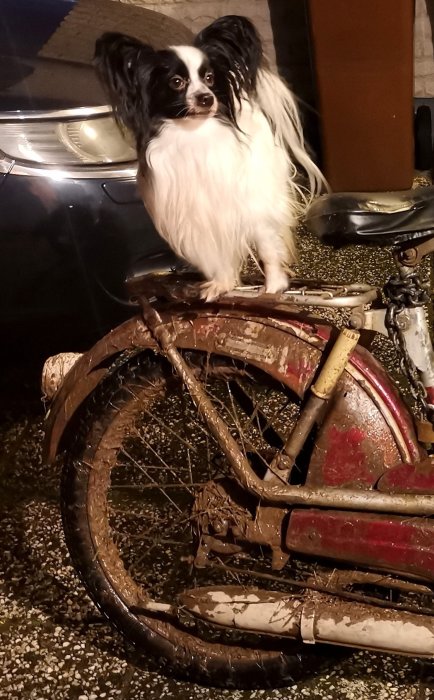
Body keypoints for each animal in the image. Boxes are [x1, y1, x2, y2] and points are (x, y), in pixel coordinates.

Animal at [95, 13, 326, 298]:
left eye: (209, 78)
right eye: (176, 82)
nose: (206, 98)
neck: (195, 135)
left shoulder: (252, 205)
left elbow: (268, 247)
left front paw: (273, 288)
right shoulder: (198, 215)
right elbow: (216, 255)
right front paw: (222, 284)